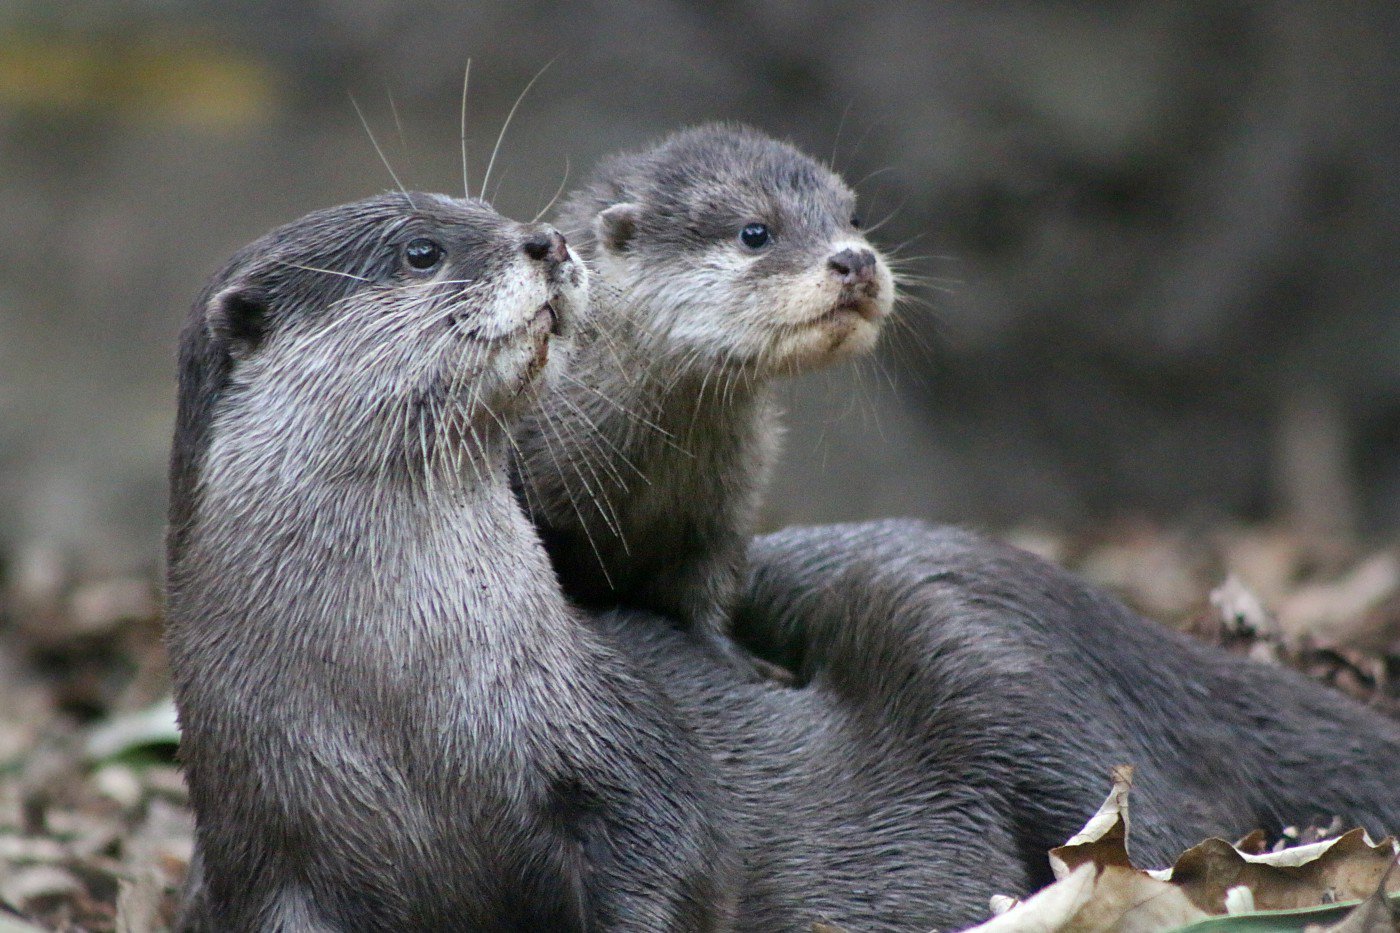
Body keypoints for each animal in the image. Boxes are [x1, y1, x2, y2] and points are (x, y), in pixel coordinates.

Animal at [160, 191, 739, 924]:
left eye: (487, 210)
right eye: (421, 252)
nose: (548, 240)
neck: (405, 711)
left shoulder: (621, 742)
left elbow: (676, 849)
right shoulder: (256, 852)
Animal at [509, 125, 890, 675]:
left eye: (854, 219)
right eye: (755, 232)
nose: (857, 260)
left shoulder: (723, 514)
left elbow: (708, 587)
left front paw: (743, 660)